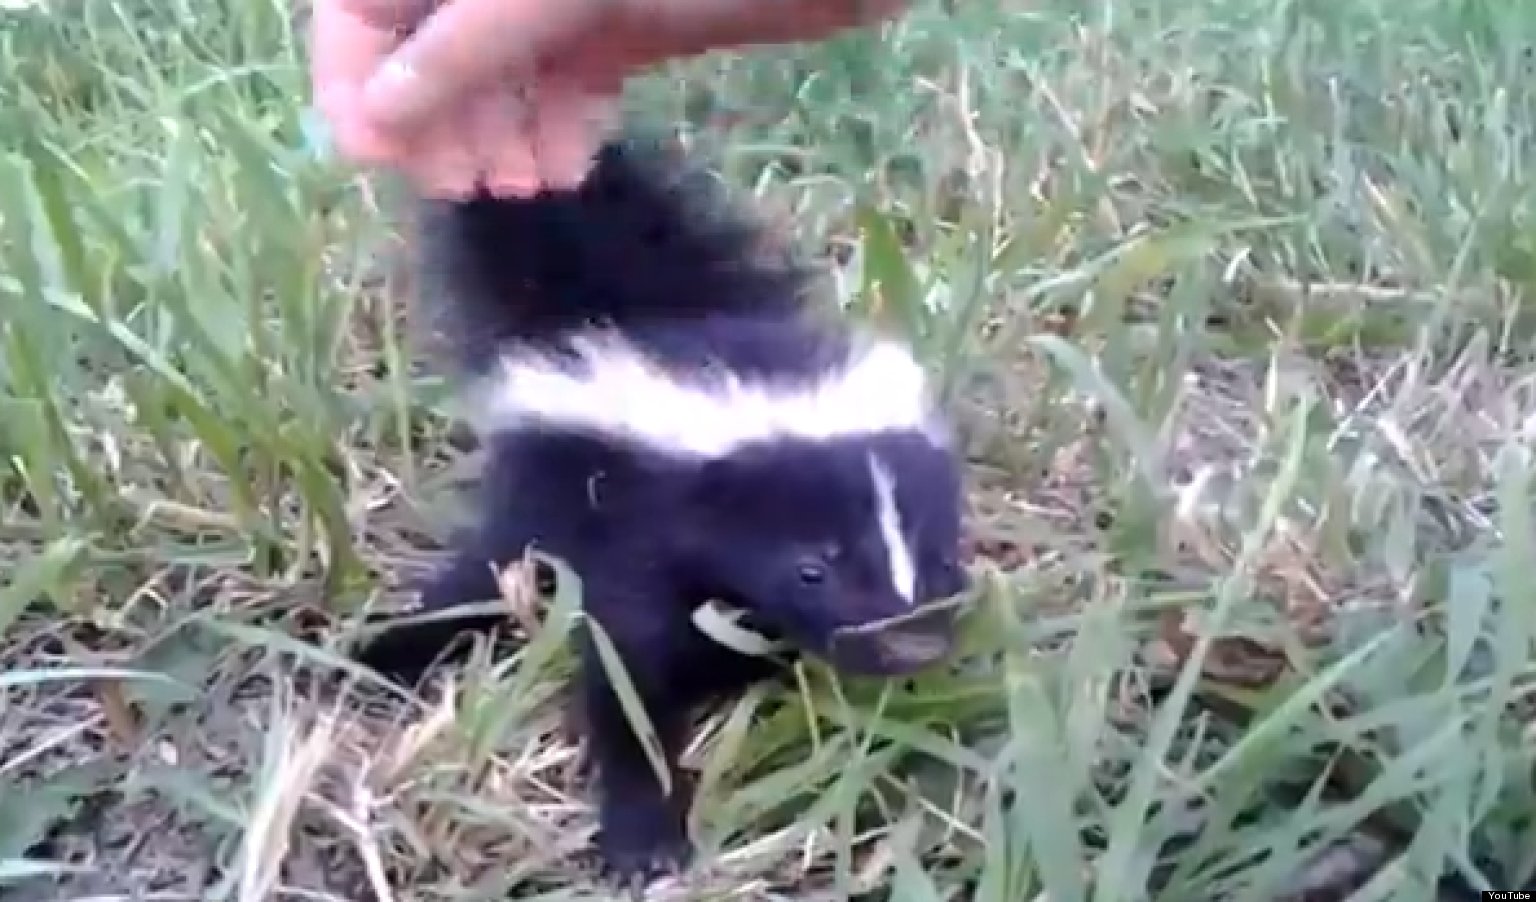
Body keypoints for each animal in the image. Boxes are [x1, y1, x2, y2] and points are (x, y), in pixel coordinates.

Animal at [353, 137, 964, 885]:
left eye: (943, 557)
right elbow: (628, 676)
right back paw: (392, 647)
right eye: (811, 570)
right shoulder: (634, 536)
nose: (913, 645)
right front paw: (643, 835)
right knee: (488, 570)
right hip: (543, 491)